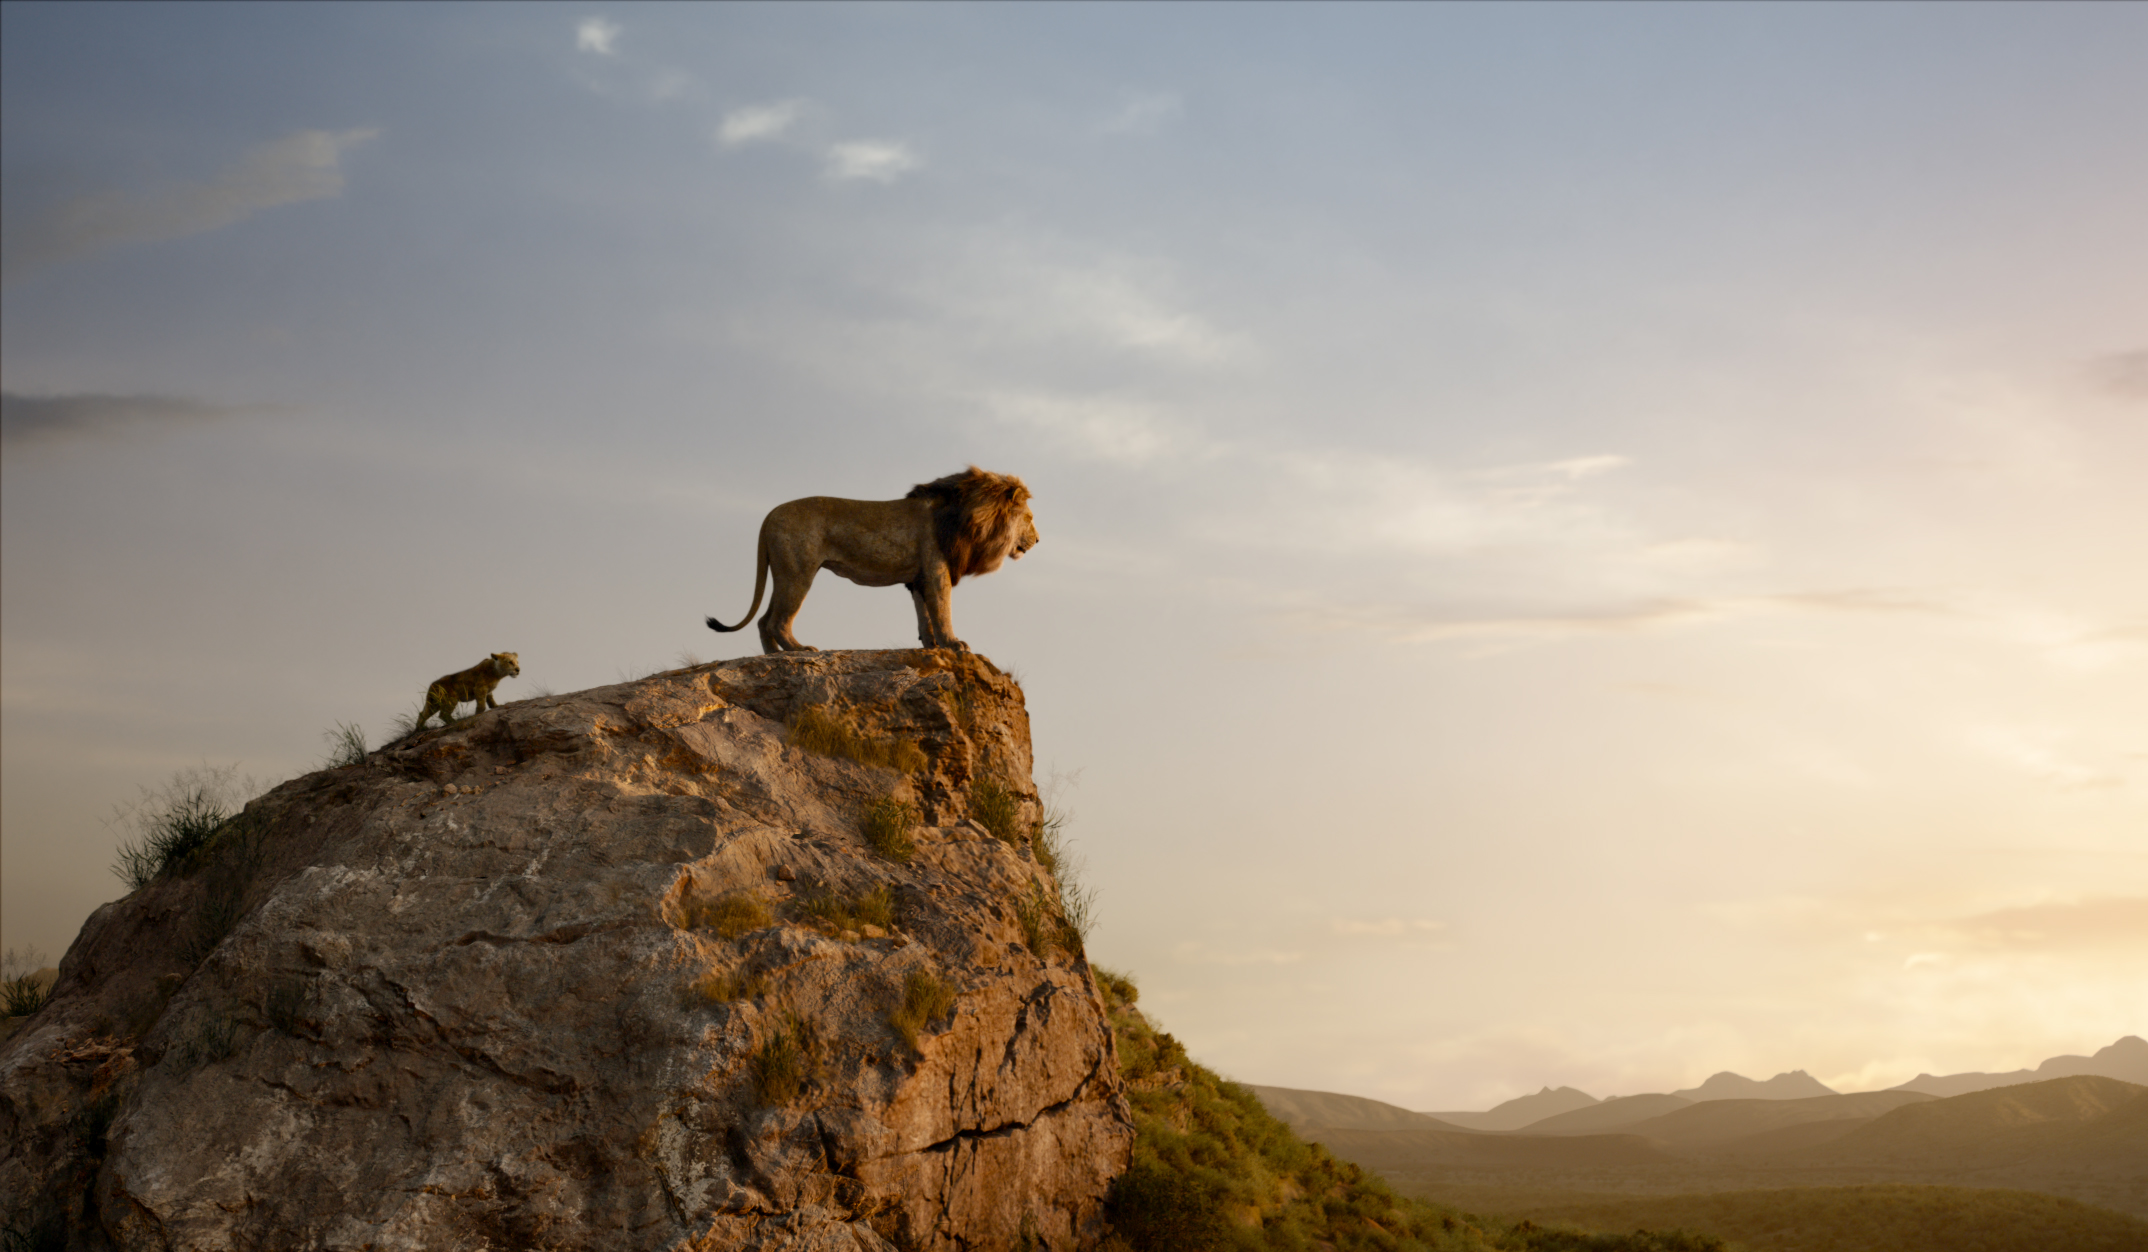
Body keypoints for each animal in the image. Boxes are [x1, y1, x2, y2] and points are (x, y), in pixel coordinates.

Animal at [704, 466, 1039, 652]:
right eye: (1030, 518)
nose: (1037, 541)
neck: (968, 516)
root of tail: (768, 516)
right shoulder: (936, 570)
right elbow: (942, 611)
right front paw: (953, 644)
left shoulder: (919, 577)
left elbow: (924, 615)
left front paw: (930, 646)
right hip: (799, 573)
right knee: (777, 621)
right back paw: (799, 650)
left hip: (783, 573)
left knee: (763, 621)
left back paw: (776, 657)